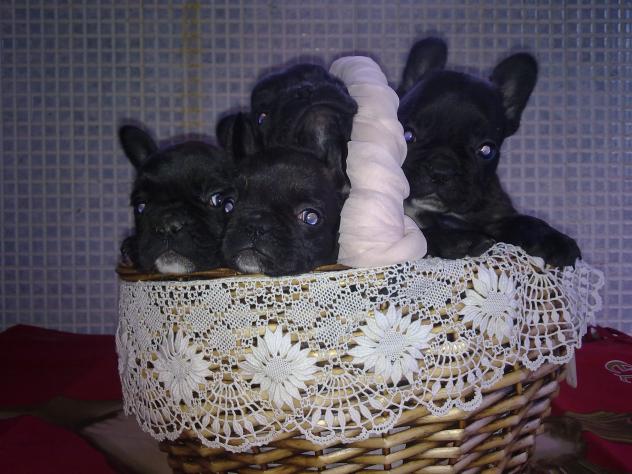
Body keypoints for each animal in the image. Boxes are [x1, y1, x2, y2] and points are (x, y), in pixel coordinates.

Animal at [398, 37, 581, 267]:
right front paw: (456, 239)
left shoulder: (495, 215)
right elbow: (421, 235)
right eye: (408, 135)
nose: (441, 170)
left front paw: (553, 239)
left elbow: (522, 221)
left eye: (486, 150)